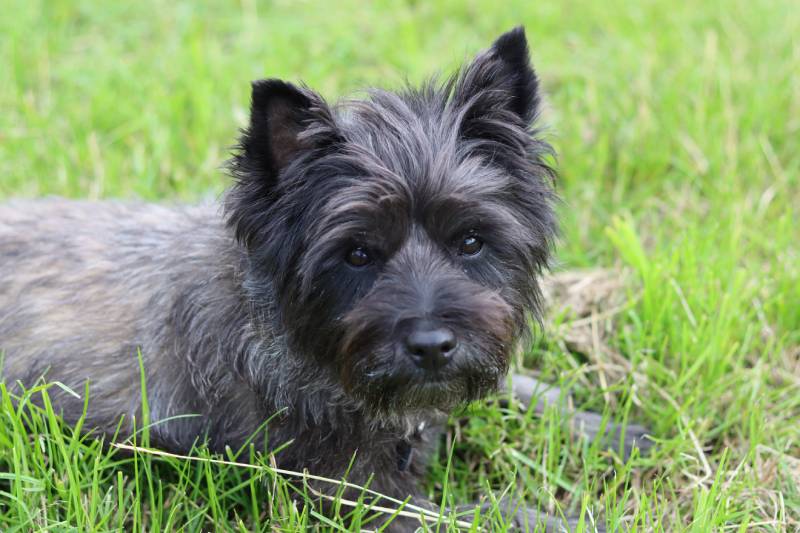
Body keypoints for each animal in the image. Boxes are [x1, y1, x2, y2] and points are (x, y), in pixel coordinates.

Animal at [0, 28, 648, 528]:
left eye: (470, 241)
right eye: (357, 254)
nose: (432, 346)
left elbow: (529, 389)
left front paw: (613, 432)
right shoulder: (359, 499)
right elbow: (495, 514)